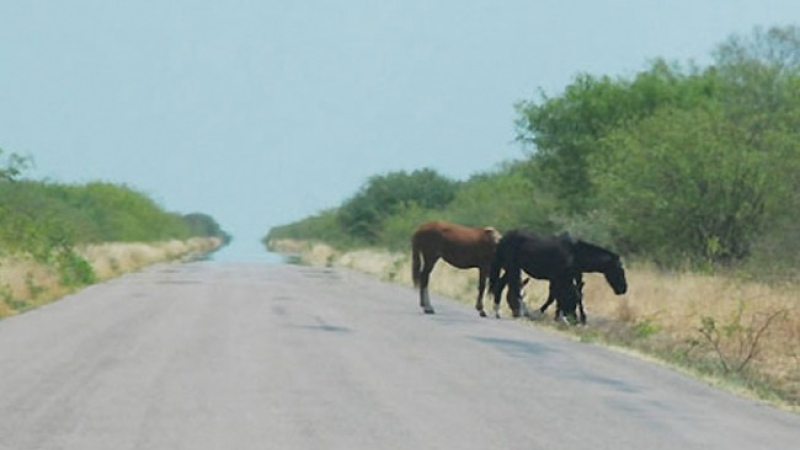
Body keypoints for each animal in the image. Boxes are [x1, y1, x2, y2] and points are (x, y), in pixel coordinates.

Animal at [489, 230, 627, 323]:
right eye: (619, 269)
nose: (623, 289)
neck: (575, 253)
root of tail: (502, 239)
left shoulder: (566, 279)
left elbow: (568, 296)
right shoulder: (558, 278)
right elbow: (557, 296)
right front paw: (553, 315)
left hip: (510, 269)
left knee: (501, 285)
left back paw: (498, 311)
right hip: (512, 267)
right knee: (513, 288)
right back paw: (519, 311)